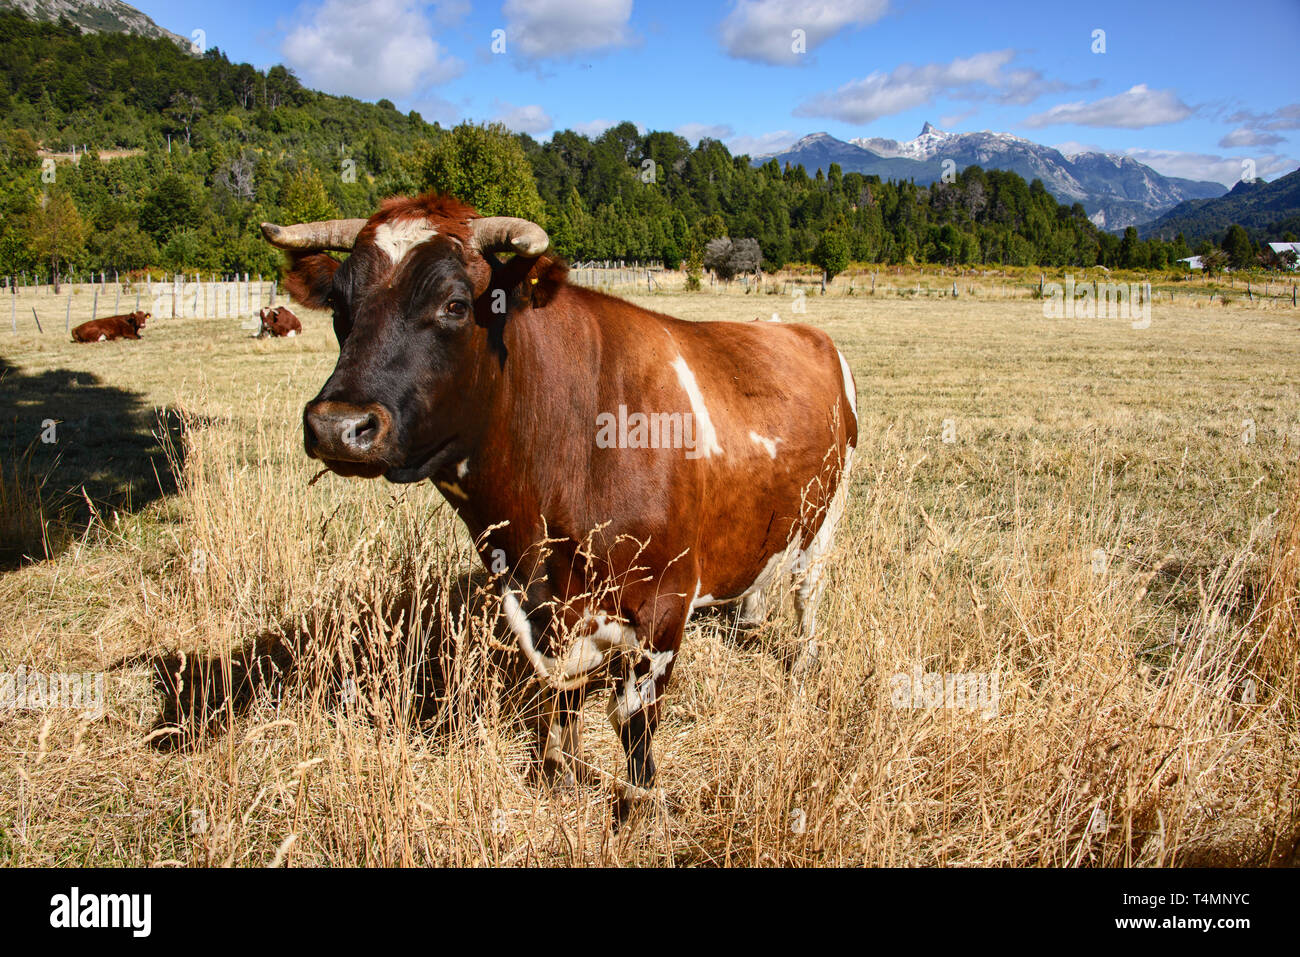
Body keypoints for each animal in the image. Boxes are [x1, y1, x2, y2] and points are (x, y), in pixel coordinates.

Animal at [261, 194, 857, 816]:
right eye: (339, 306)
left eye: (454, 304)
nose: (336, 425)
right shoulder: (532, 597)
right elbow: (561, 694)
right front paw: (560, 773)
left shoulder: (666, 601)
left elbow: (632, 720)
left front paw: (638, 803)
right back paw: (751, 622)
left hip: (827, 516)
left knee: (808, 592)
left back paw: (803, 663)